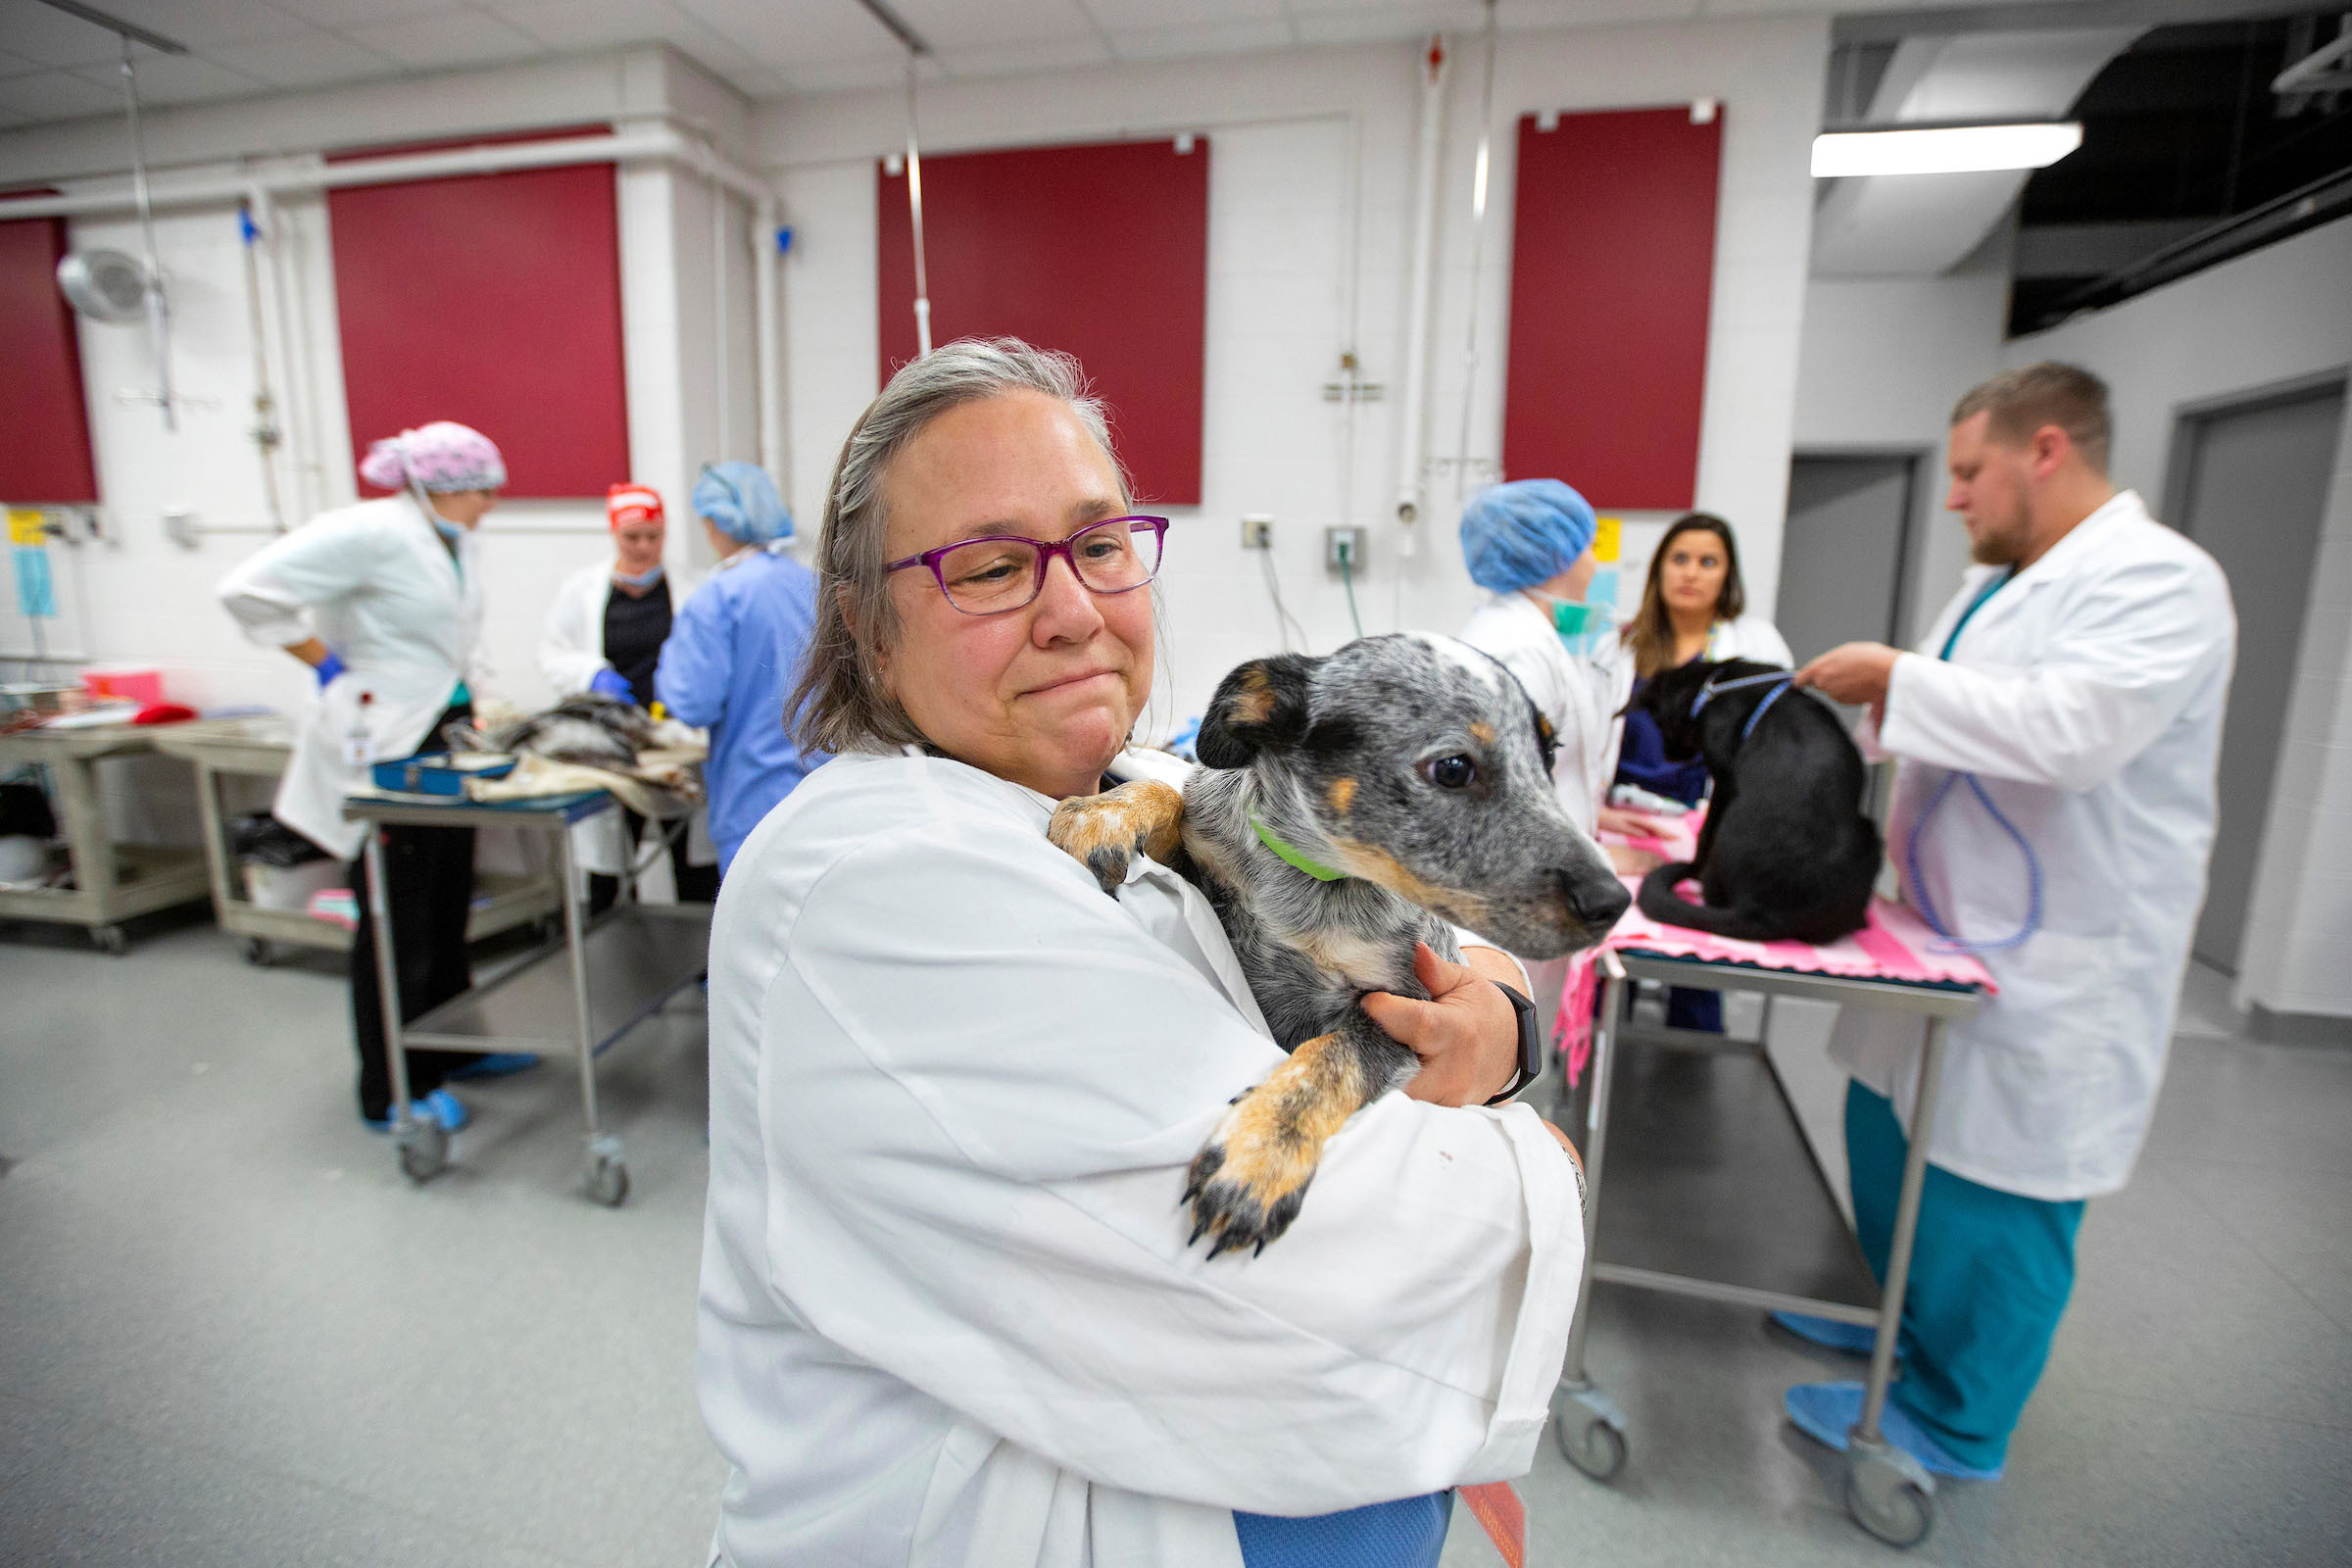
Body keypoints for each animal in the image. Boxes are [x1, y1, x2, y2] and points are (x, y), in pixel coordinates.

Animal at [1054, 629, 1637, 1259]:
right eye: (1454, 768)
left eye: (1548, 757)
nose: (1613, 902)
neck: (1319, 883)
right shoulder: (1209, 879)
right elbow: (1173, 794)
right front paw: (1107, 811)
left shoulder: (1406, 1008)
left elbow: (1332, 1059)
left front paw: (1266, 1150)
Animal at [1627, 658, 1882, 945]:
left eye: (1658, 723)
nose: (1670, 757)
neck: (1713, 685)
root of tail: (1763, 912)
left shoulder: (1723, 781)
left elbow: (1705, 832)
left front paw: (1695, 864)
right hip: (1871, 838)